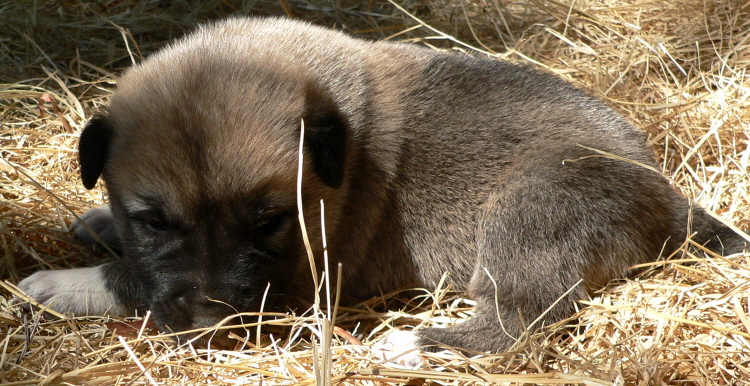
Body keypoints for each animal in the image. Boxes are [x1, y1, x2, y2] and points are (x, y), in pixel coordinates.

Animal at [17, 15, 748, 362]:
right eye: (152, 221)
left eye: (269, 222)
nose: (210, 324)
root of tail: (669, 197)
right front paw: (98, 225)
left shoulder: (301, 281)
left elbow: (133, 281)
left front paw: (63, 283)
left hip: (532, 211)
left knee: (523, 320)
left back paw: (414, 343)